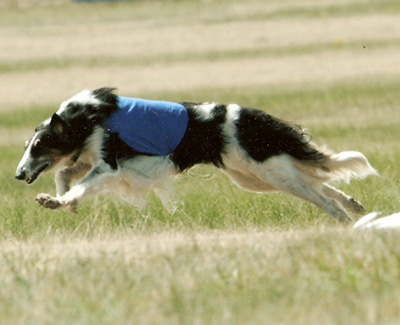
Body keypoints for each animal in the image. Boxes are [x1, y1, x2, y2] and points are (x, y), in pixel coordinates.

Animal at [16, 87, 378, 221]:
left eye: (39, 145)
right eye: (28, 145)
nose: (19, 174)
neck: (87, 118)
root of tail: (253, 117)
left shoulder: (109, 165)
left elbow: (79, 182)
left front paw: (58, 201)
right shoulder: (90, 159)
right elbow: (65, 174)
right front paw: (64, 202)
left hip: (267, 170)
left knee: (322, 197)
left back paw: (347, 220)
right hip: (254, 176)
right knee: (320, 184)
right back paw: (354, 205)